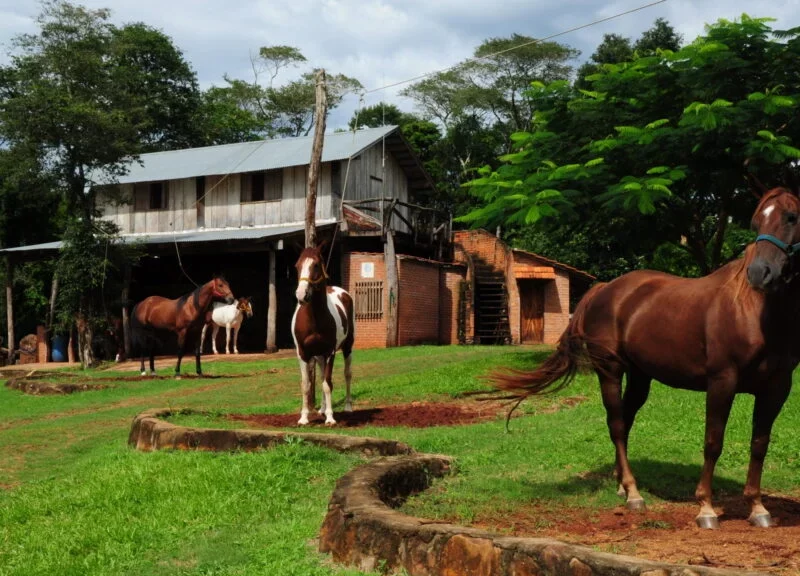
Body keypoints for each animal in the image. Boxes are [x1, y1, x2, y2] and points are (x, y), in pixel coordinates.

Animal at [291, 245, 355, 425]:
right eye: (297, 266)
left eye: (316, 265)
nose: (301, 295)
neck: (314, 319)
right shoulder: (303, 353)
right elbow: (306, 385)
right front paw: (304, 418)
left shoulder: (329, 353)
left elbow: (328, 383)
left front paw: (330, 417)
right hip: (318, 356)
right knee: (319, 377)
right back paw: (321, 409)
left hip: (347, 347)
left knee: (347, 374)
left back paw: (347, 406)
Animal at [493, 184, 800, 530]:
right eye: (755, 222)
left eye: (791, 217)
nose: (760, 274)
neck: (755, 312)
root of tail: (603, 289)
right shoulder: (722, 381)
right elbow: (713, 442)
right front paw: (706, 509)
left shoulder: (777, 388)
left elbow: (759, 444)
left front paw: (758, 508)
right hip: (610, 371)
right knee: (616, 423)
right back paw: (634, 494)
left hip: (640, 376)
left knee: (625, 421)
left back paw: (622, 486)